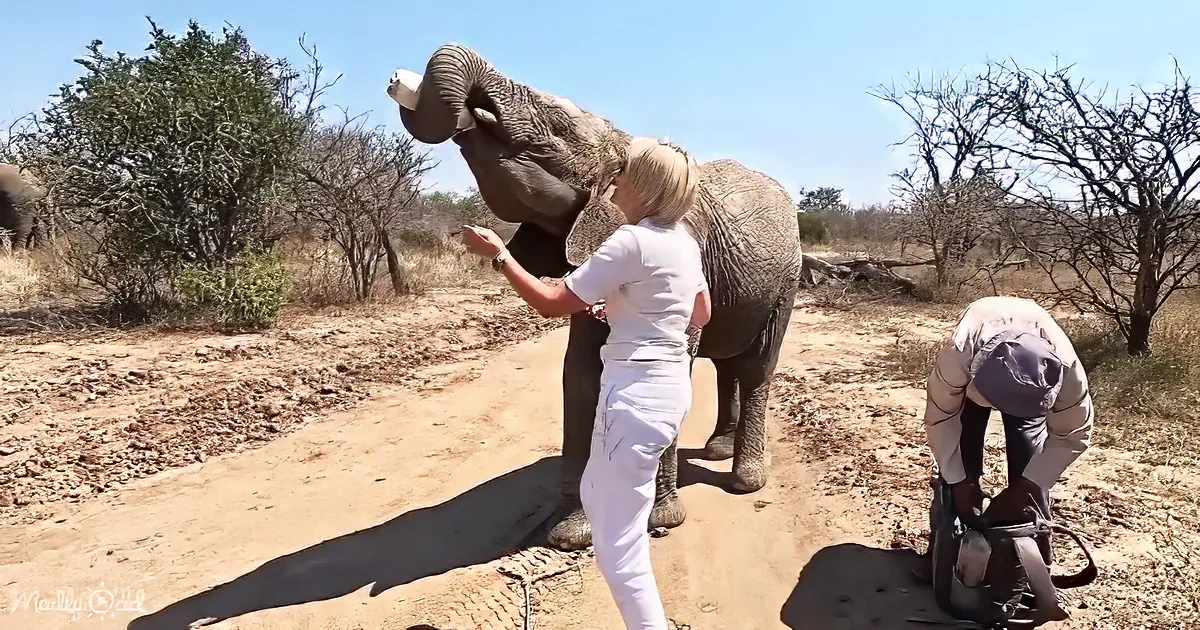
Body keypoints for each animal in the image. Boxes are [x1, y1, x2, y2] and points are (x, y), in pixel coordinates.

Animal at [388, 43, 803, 551]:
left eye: (558, 127)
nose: (397, 81)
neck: (625, 143)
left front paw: (661, 521)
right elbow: (580, 373)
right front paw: (569, 534)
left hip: (788, 281)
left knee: (758, 364)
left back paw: (745, 479)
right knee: (728, 365)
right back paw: (717, 450)